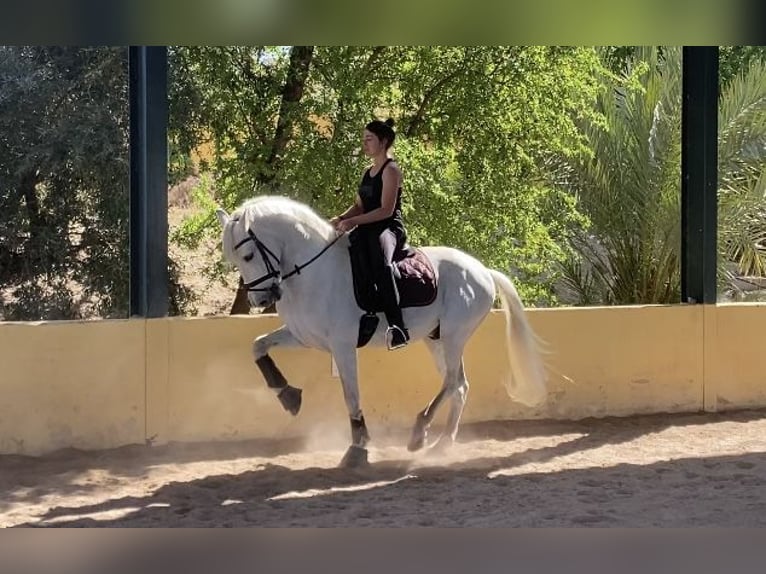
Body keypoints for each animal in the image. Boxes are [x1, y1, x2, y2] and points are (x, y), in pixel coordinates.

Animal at [216, 195, 548, 468]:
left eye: (247, 256)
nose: (260, 300)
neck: (313, 273)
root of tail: (482, 270)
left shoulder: (342, 346)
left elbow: (351, 395)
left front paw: (358, 448)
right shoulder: (302, 336)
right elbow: (258, 346)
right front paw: (288, 396)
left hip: (454, 336)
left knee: (454, 381)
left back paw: (421, 433)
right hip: (435, 339)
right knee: (459, 386)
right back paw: (439, 442)